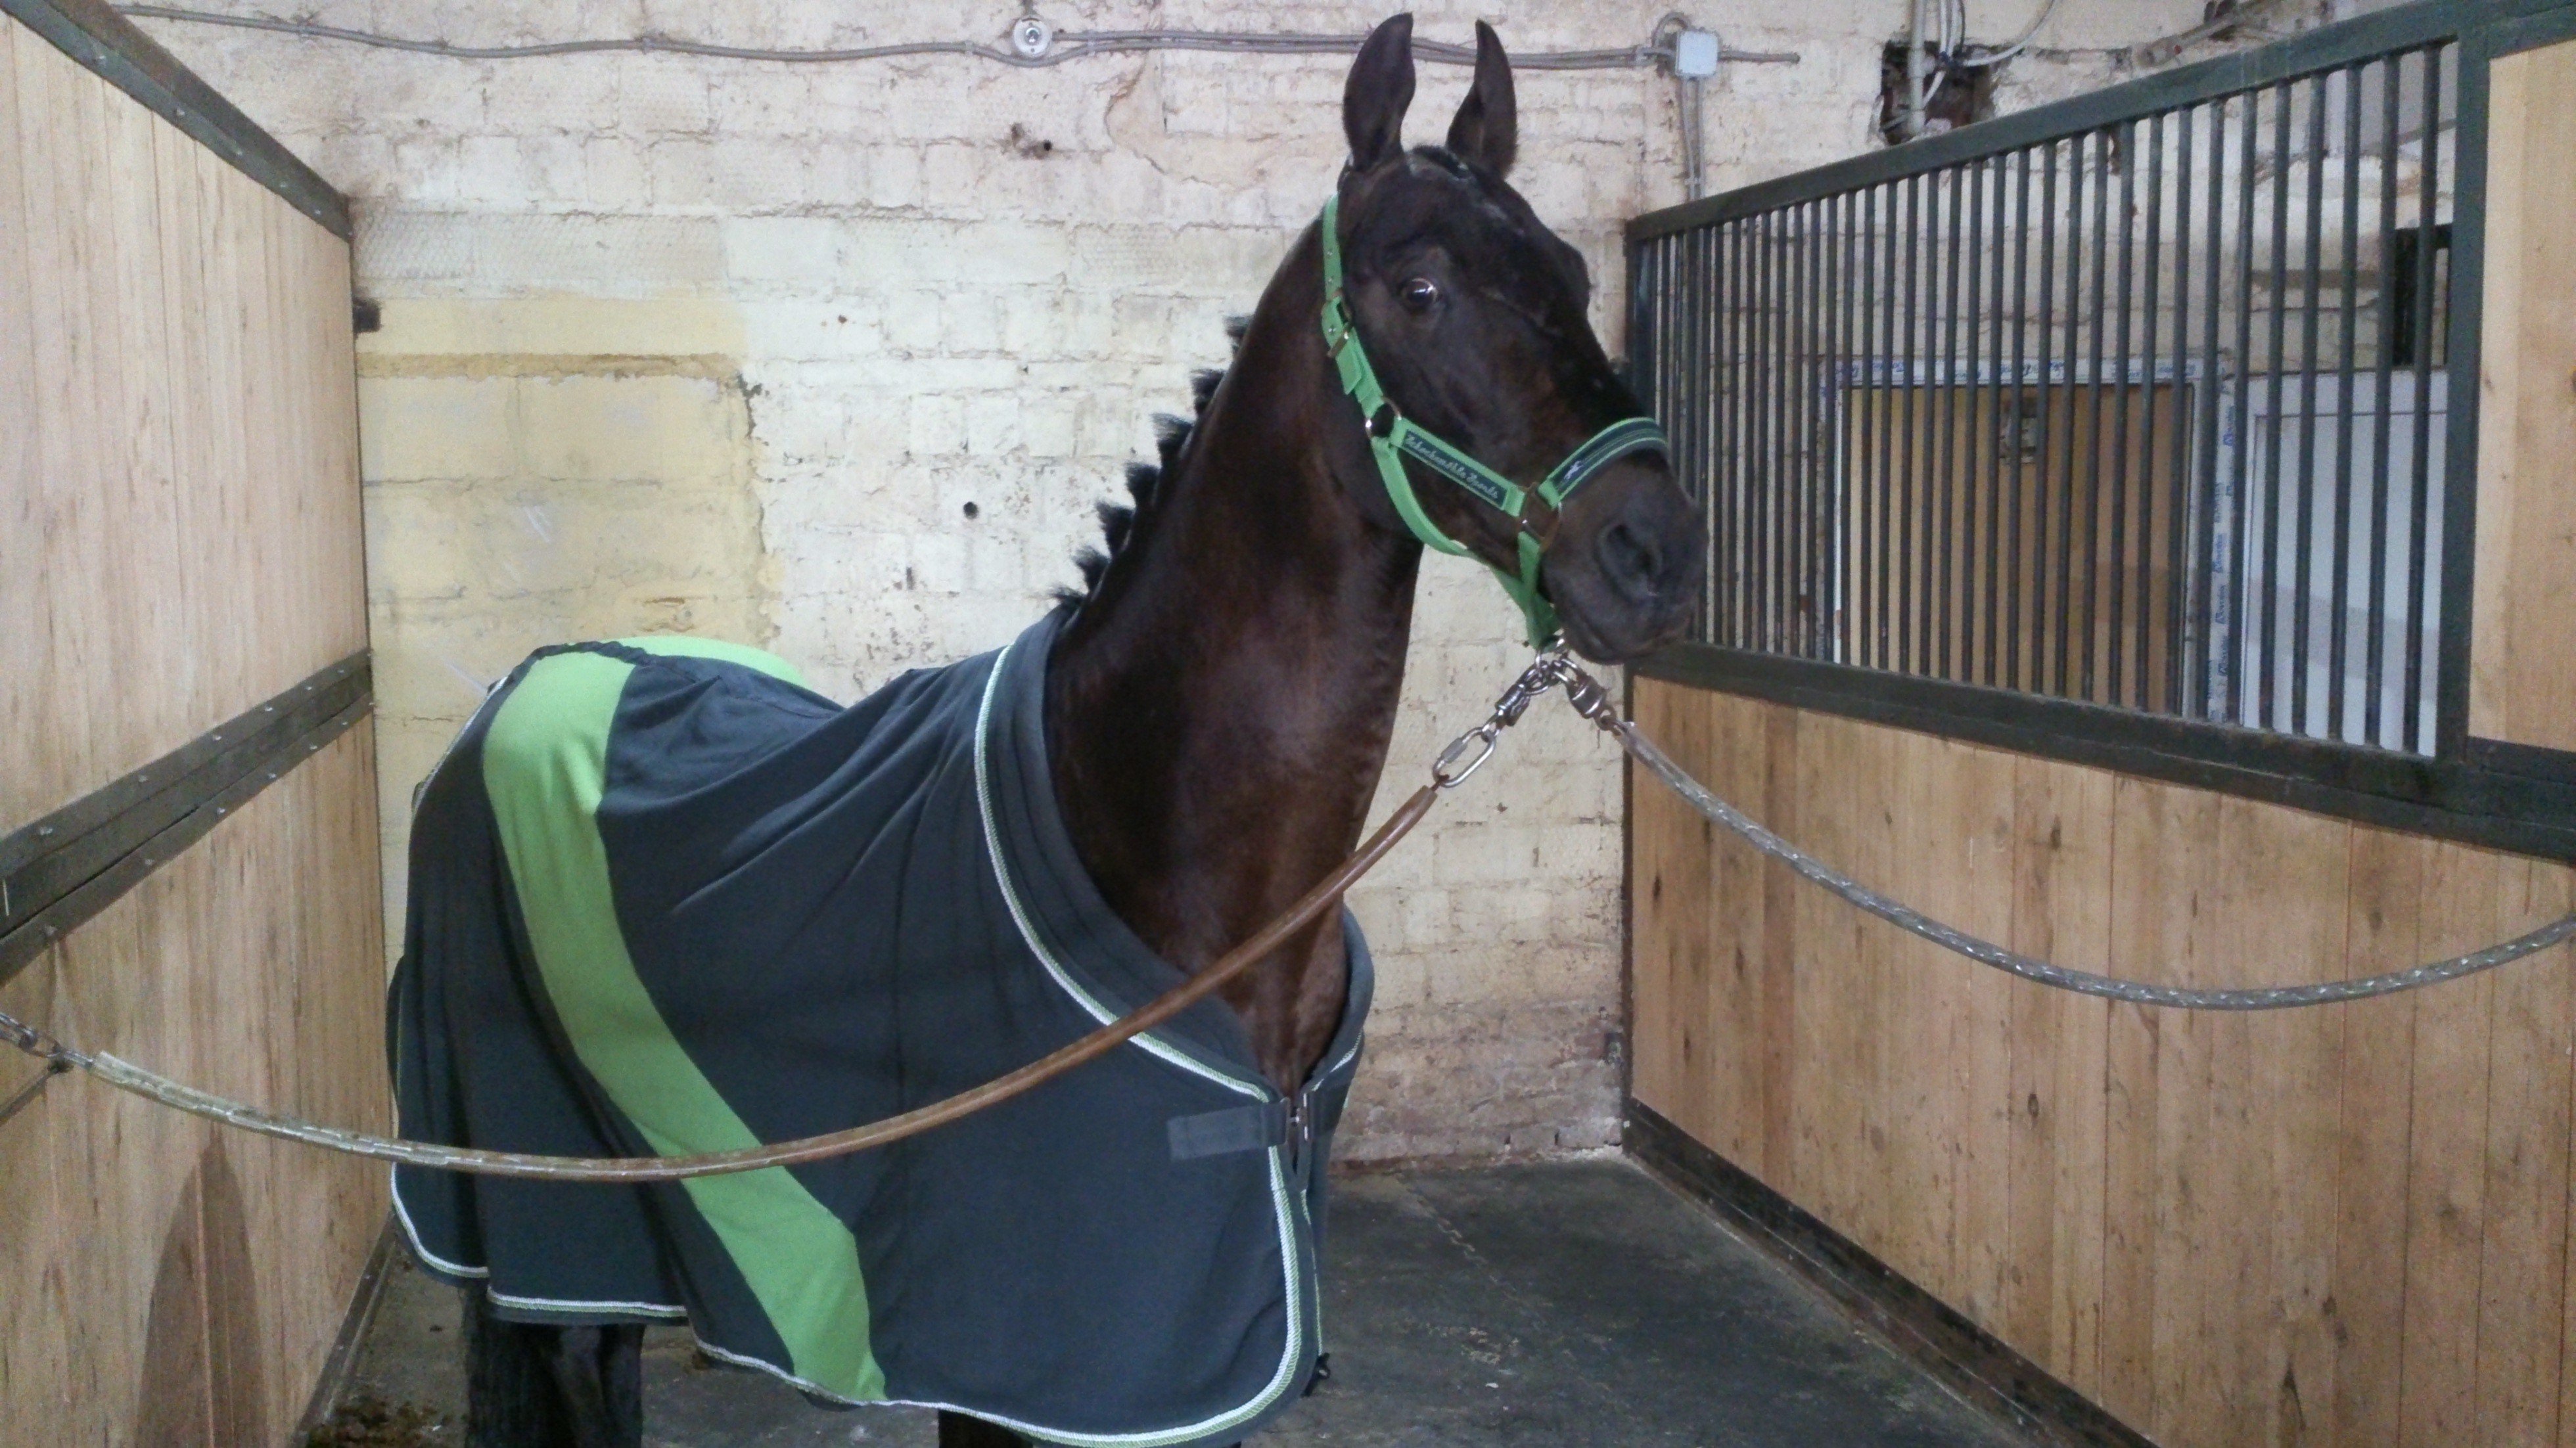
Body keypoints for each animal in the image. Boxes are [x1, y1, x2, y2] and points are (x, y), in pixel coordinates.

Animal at [398, 15, 1701, 1447]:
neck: (1145, 833)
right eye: (1420, 290)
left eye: (1570, 269)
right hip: (556, 1238)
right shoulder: (1017, 1382)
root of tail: (522, 687)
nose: (1653, 551)